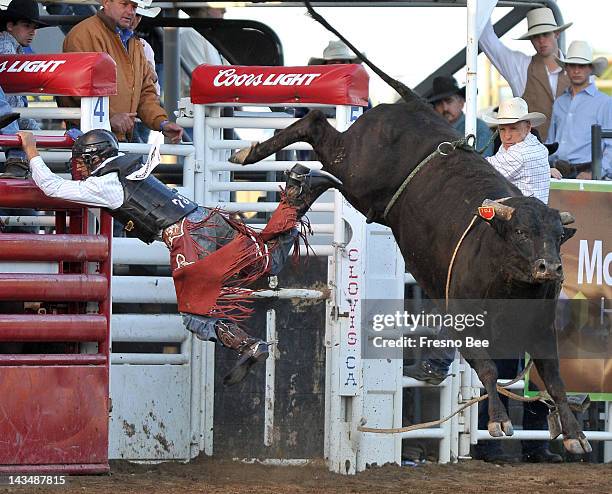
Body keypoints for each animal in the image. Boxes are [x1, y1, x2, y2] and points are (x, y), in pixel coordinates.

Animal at [228, 1, 588, 456]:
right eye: (522, 232)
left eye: (558, 237)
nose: (550, 269)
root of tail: (413, 106)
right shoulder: (463, 318)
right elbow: (488, 368)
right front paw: (501, 422)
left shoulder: (540, 329)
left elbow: (554, 378)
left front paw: (574, 433)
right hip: (356, 166)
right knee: (313, 121)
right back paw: (251, 152)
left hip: (364, 190)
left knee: (323, 158)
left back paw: (298, 180)